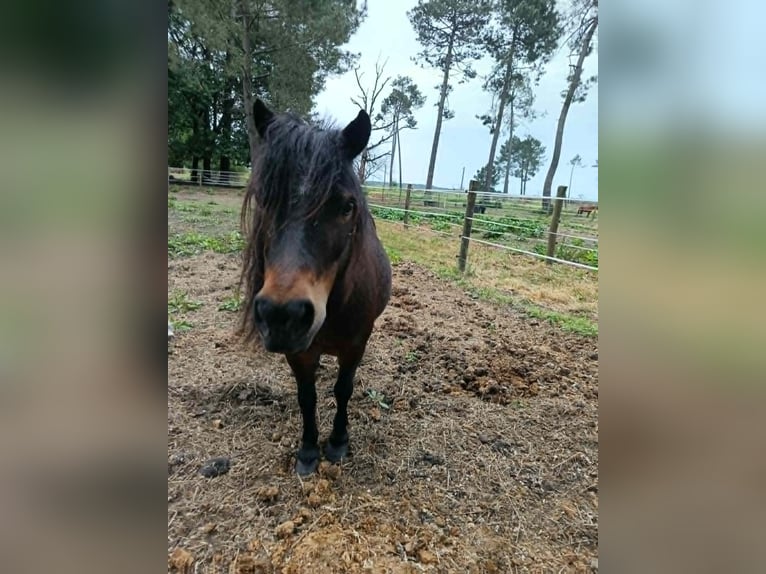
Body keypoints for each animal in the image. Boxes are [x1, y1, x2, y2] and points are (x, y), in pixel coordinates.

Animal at [239, 99, 392, 476]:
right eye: (264, 199)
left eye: (347, 207)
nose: (283, 315)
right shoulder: (298, 352)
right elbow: (307, 396)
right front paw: (308, 450)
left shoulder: (356, 345)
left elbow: (343, 389)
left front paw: (337, 442)